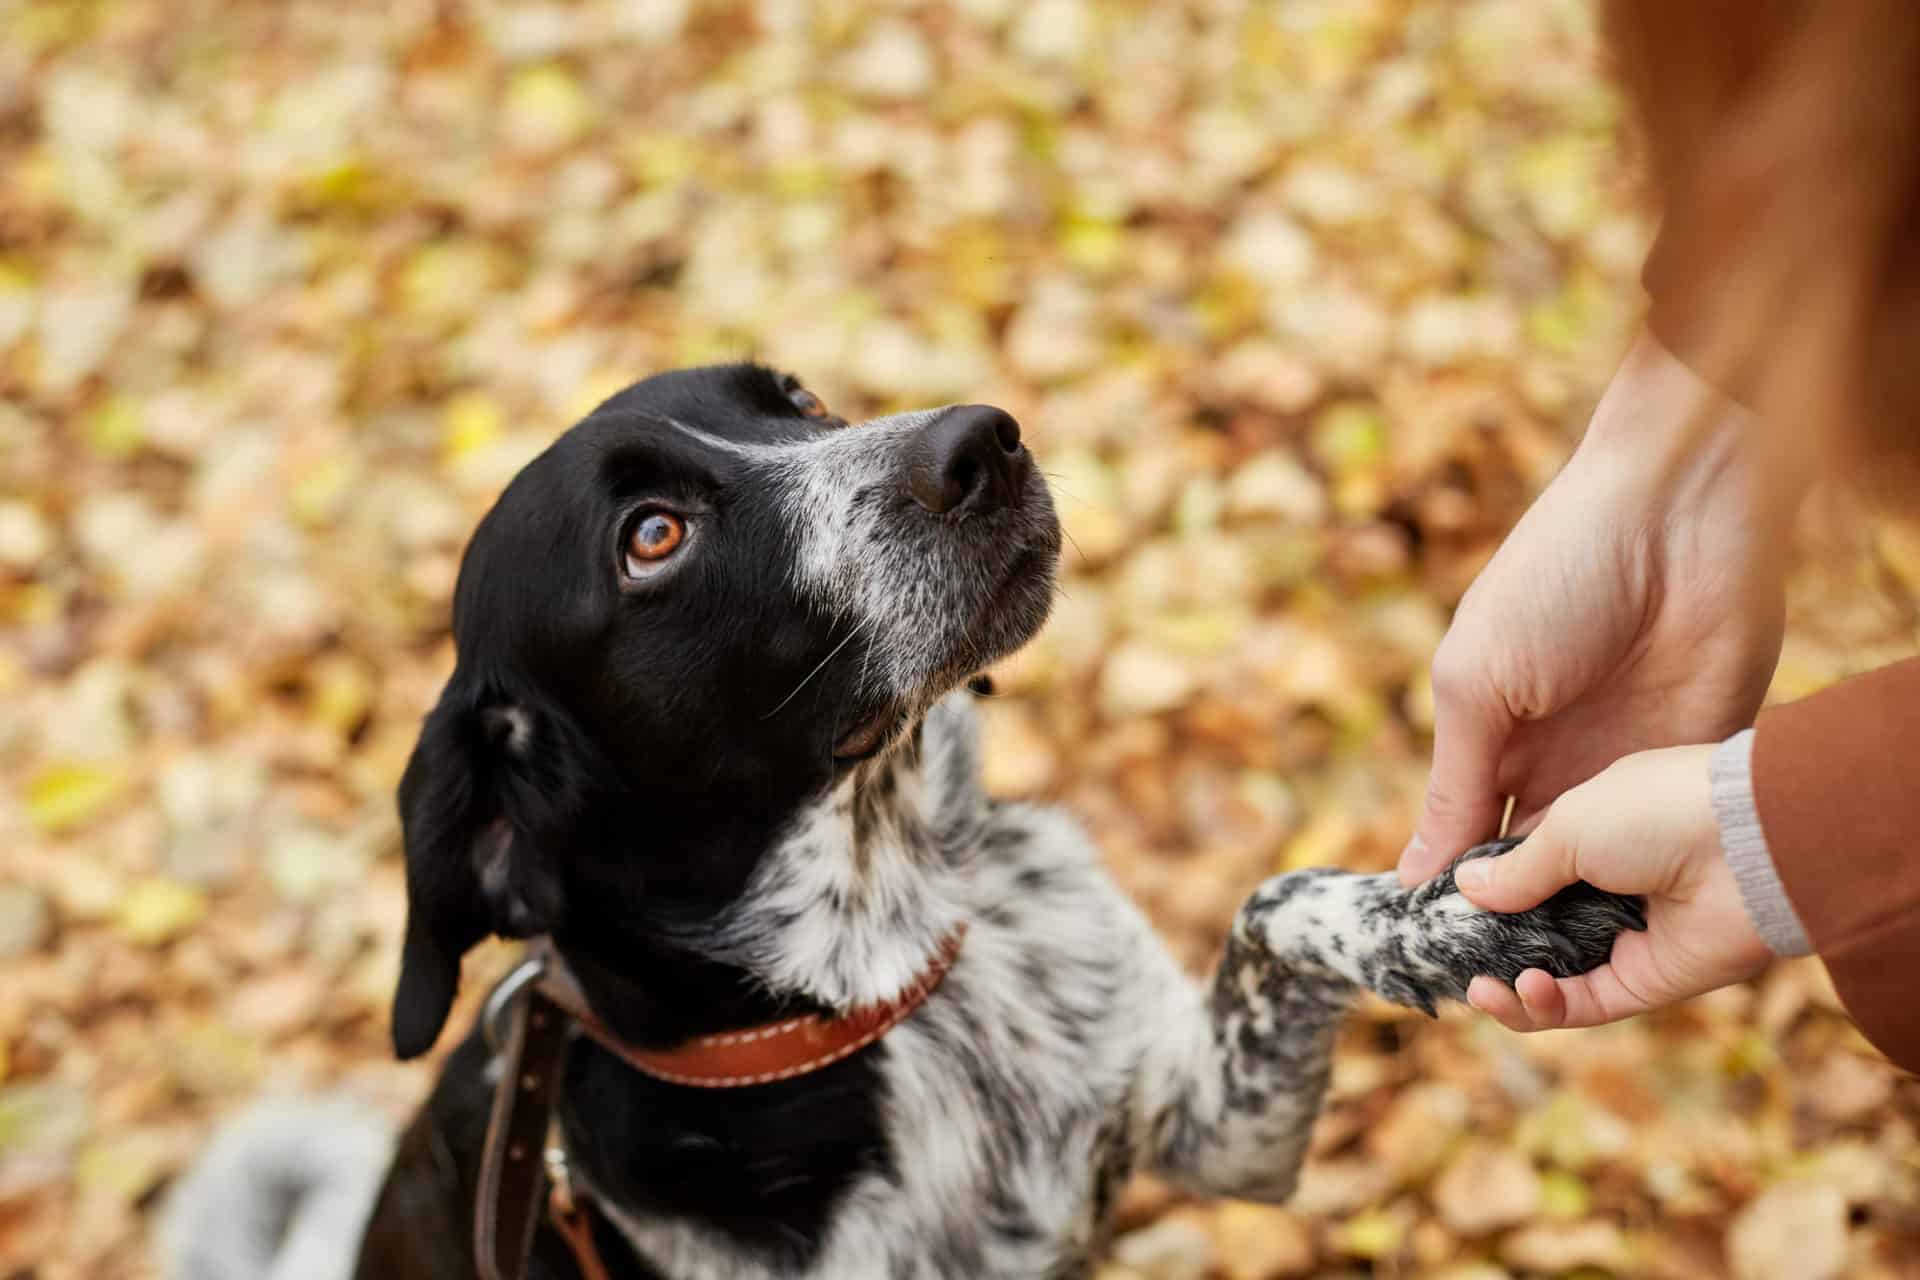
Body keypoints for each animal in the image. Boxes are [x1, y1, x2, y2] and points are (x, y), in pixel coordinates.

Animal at [165, 360, 1643, 1280]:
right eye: (652, 537)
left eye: (799, 400)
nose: (981, 439)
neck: (894, 974)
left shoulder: (1218, 1128)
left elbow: (1276, 902)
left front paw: (1474, 916)